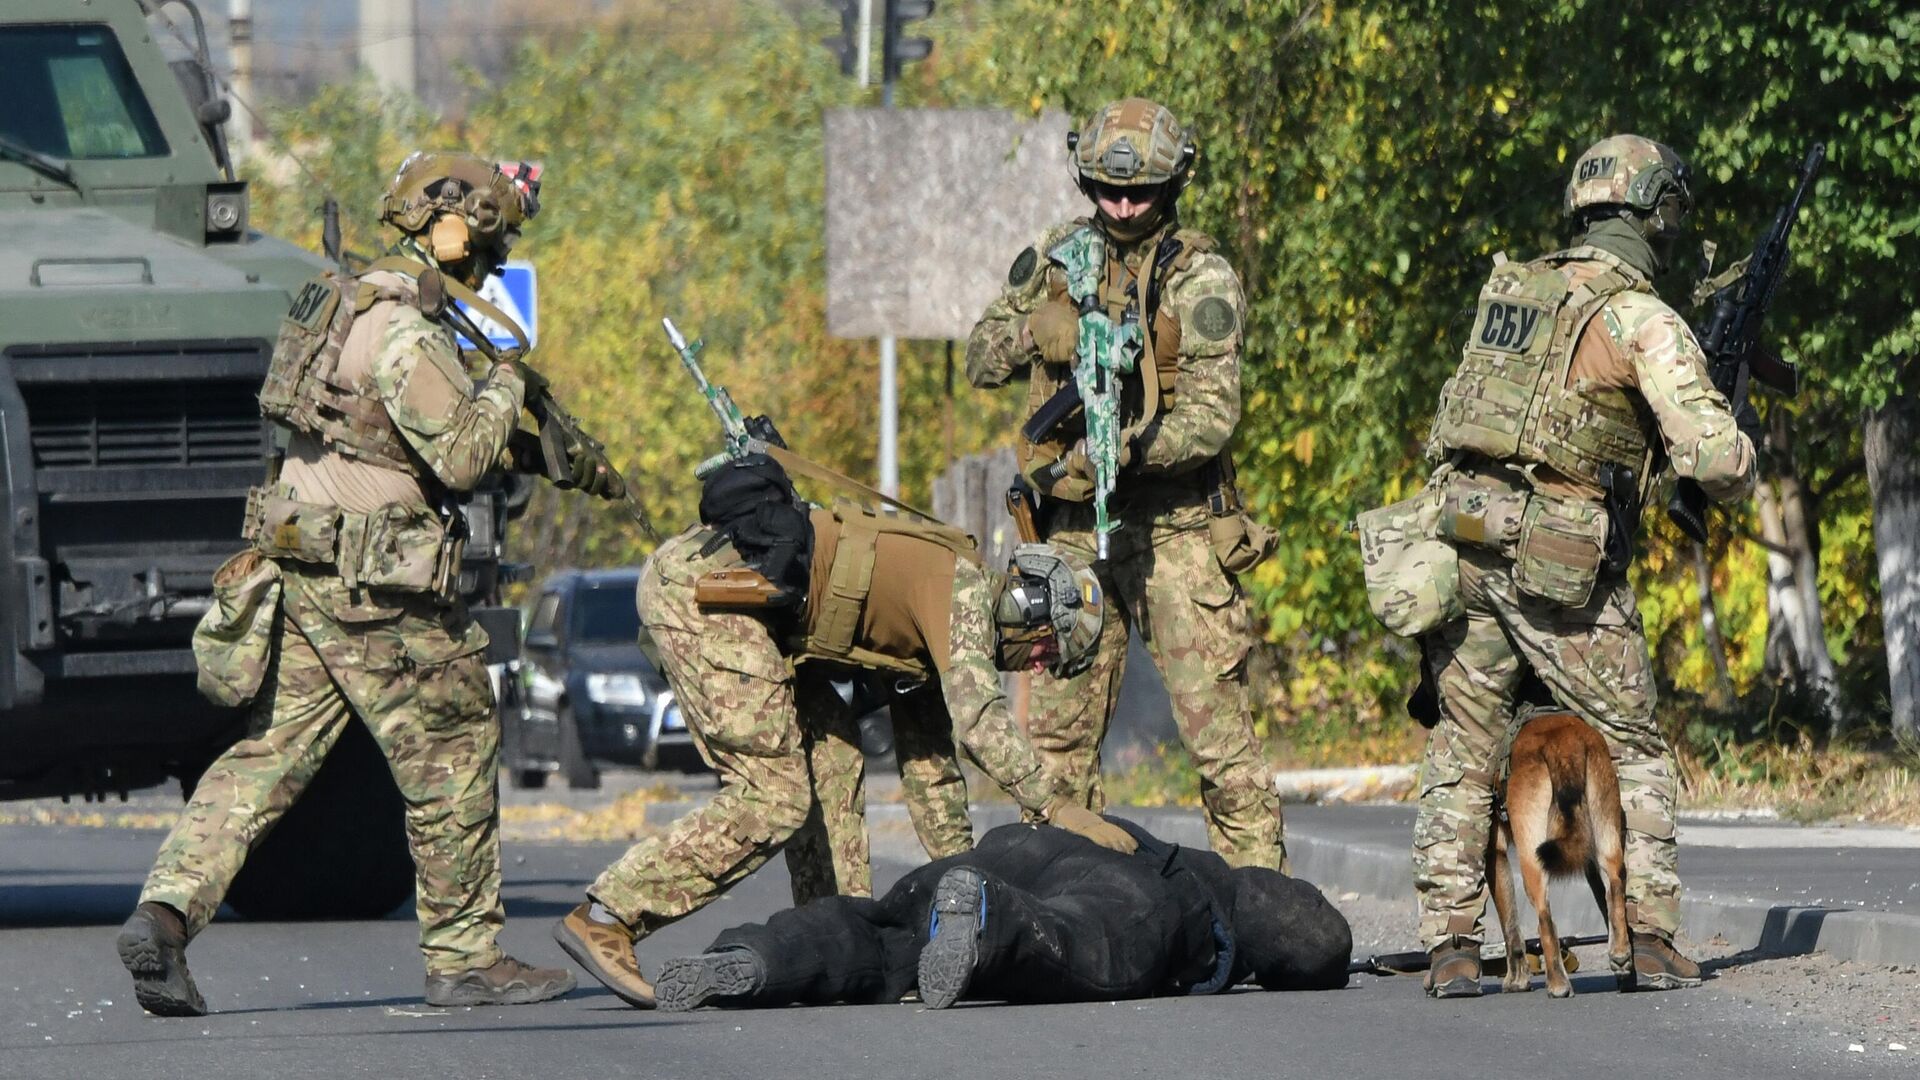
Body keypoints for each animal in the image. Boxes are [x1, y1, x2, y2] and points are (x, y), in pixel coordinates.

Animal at [1489, 707, 1628, 991]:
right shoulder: (1588, 858)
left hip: (1531, 853)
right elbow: (1601, 895)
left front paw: (1516, 979)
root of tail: (1564, 746)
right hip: (1606, 832)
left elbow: (1510, 925)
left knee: (1545, 916)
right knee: (1616, 883)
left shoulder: (1495, 852)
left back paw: (1557, 983)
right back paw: (1620, 954)